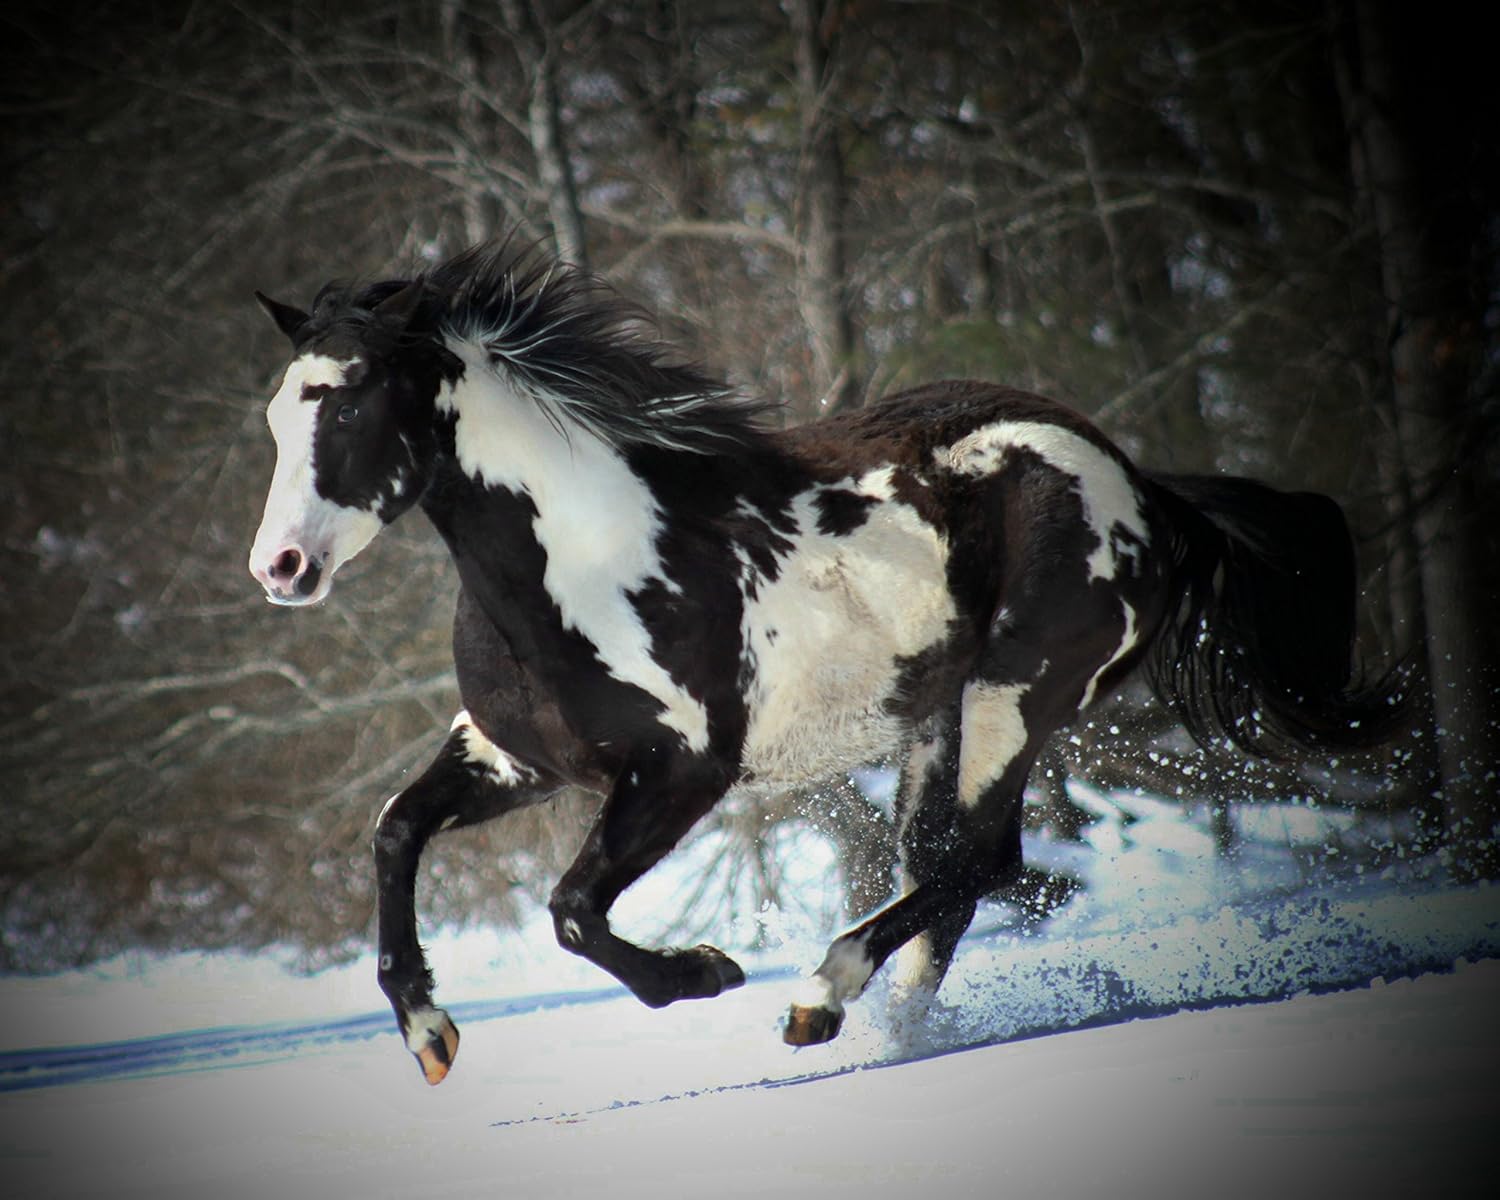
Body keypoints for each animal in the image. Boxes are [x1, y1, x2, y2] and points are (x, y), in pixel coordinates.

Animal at [247, 241, 1400, 1085]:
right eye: (274, 414)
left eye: (350, 399)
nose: (280, 567)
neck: (587, 557)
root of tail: (1143, 490)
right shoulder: (514, 757)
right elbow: (395, 833)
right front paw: (429, 1034)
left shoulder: (682, 772)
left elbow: (573, 910)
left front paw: (706, 972)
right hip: (941, 718)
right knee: (951, 874)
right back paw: (889, 1031)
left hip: (1013, 699)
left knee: (976, 863)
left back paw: (819, 998)